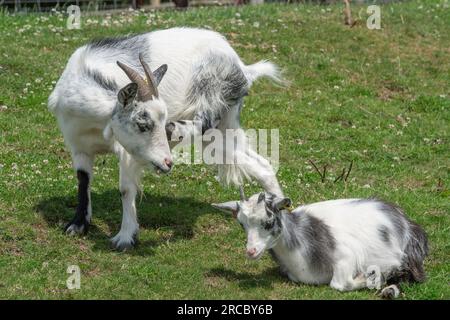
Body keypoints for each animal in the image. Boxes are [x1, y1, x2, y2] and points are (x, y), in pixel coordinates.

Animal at [49, 27, 282, 250]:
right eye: (143, 124)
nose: (167, 162)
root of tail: (241, 67)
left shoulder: (127, 151)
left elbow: (125, 189)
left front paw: (125, 238)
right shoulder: (78, 146)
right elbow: (83, 180)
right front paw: (77, 225)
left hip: (212, 99)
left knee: (203, 123)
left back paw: (176, 128)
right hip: (224, 129)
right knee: (261, 165)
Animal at [213, 190, 428, 298]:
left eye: (268, 221)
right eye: (241, 224)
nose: (251, 251)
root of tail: (407, 223)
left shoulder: (346, 256)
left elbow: (339, 284)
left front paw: (371, 277)